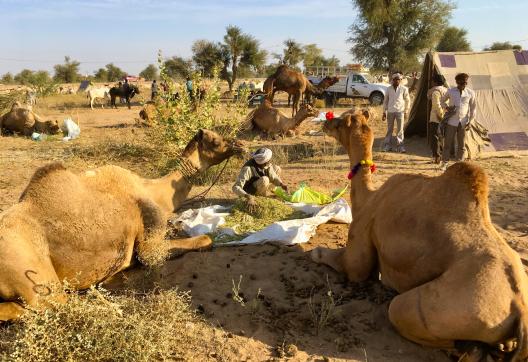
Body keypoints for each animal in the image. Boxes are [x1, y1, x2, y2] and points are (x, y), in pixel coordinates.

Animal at [0, 129, 246, 320]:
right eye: (215, 140)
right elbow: (203, 239)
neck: (156, 193)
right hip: (34, 275)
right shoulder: (150, 239)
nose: (241, 144)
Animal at [312, 111, 528, 360]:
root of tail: (519, 308)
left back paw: (472, 348)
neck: (369, 197)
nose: (326, 122)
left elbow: (340, 262)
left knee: (400, 311)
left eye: (339, 122)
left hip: (444, 307)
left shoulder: (362, 237)